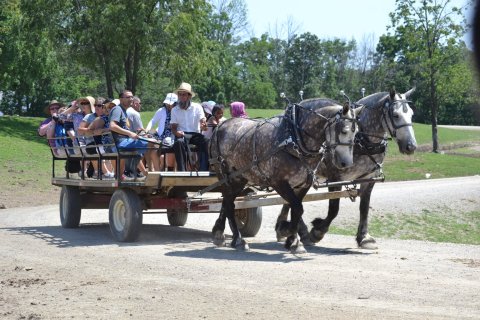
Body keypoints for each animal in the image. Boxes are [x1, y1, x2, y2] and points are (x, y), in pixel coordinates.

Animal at [208, 102, 362, 252]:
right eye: (344, 131)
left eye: (356, 133)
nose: (346, 163)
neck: (294, 138)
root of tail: (221, 125)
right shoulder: (279, 182)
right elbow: (297, 208)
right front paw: (285, 230)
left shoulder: (302, 184)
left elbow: (295, 209)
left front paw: (293, 241)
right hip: (224, 175)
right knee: (229, 203)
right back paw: (237, 239)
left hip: (239, 178)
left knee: (227, 201)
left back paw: (220, 233)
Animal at [276, 89, 418, 249]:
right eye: (395, 115)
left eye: (411, 114)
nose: (411, 146)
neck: (361, 140)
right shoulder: (335, 178)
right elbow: (334, 209)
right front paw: (318, 231)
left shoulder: (369, 179)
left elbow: (364, 207)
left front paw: (364, 237)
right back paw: (296, 232)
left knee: (291, 200)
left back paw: (287, 229)